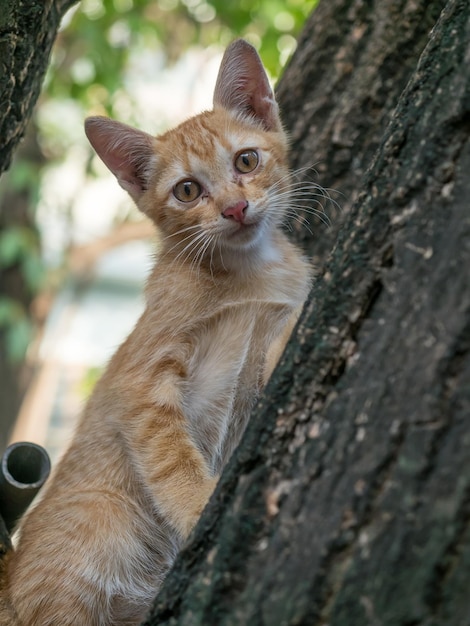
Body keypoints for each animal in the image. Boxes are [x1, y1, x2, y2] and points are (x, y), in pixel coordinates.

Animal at [4, 41, 312, 620]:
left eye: (246, 160)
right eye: (187, 190)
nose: (235, 208)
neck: (246, 274)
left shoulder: (269, 332)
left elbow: (279, 342)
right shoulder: (142, 382)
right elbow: (170, 458)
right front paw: (196, 507)